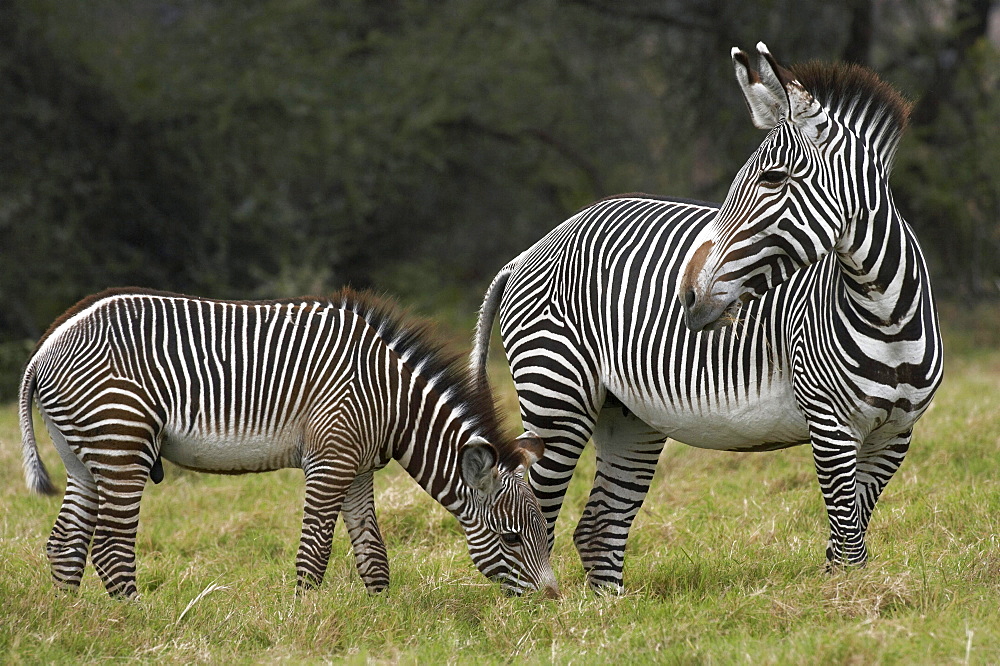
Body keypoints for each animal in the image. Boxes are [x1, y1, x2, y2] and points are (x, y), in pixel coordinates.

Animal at [17, 286, 564, 596]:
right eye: (512, 538)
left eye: (544, 532)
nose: (551, 600)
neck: (392, 400)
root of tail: (44, 346)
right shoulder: (330, 458)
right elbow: (315, 552)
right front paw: (304, 619)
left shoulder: (358, 467)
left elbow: (373, 554)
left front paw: (380, 618)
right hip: (121, 444)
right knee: (110, 546)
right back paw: (136, 620)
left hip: (84, 457)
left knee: (65, 545)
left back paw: (79, 624)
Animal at [472, 44, 940, 588]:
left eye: (773, 178)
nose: (688, 297)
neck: (887, 317)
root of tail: (535, 247)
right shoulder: (830, 426)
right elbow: (848, 542)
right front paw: (848, 600)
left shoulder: (895, 436)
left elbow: (849, 539)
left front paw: (852, 595)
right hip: (555, 395)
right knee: (536, 517)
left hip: (628, 415)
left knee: (598, 528)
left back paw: (609, 611)